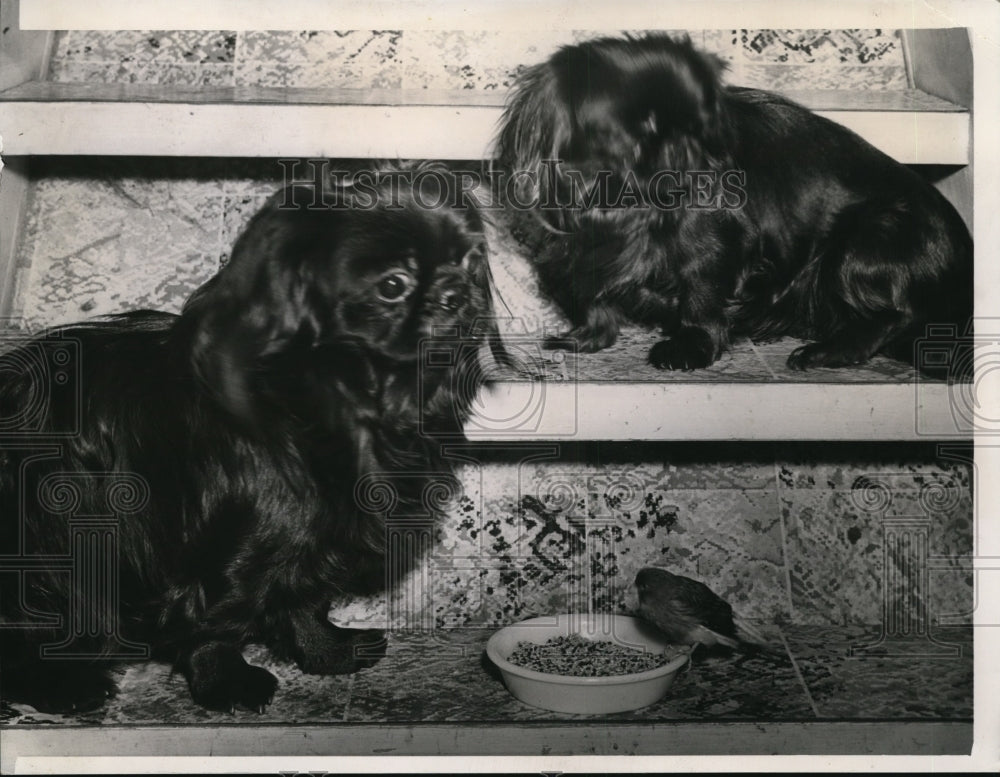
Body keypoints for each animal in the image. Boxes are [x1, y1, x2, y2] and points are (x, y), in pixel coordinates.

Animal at [0, 167, 500, 712]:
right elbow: (214, 620)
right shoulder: (235, 540)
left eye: (470, 261)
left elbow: (303, 601)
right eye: (393, 284)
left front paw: (327, 653)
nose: (456, 291)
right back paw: (68, 686)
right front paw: (226, 683)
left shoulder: (306, 534)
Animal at [496, 34, 972, 374]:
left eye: (699, 124)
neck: (625, 209)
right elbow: (592, 299)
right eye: (636, 129)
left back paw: (827, 351)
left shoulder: (712, 247)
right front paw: (586, 338)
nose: (689, 154)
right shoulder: (578, 249)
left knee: (898, 314)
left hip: (865, 241)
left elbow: (700, 297)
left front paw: (690, 346)